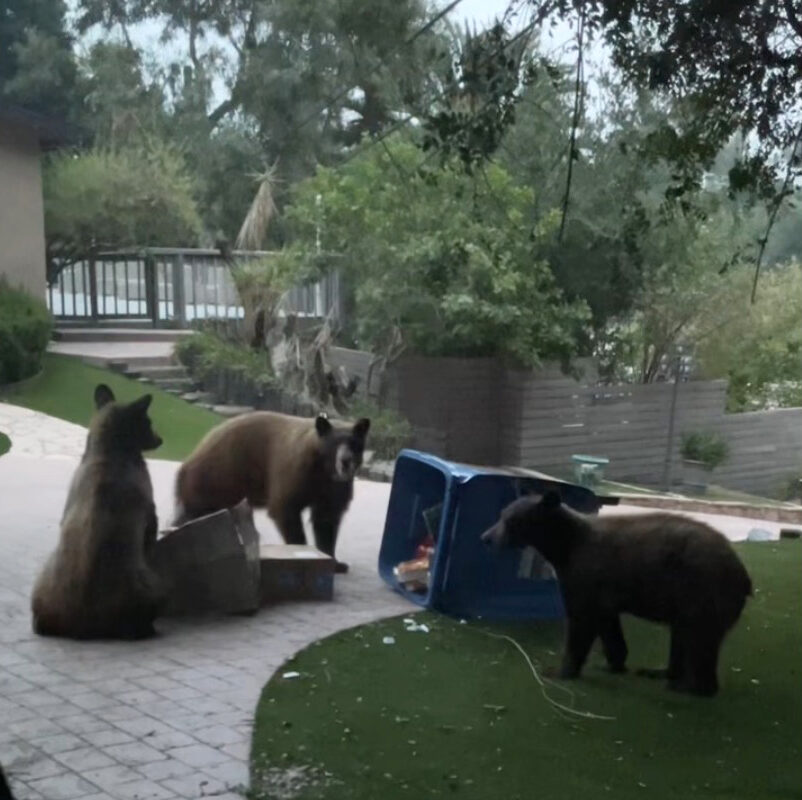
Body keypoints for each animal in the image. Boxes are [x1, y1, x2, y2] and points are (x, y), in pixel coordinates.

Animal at [31, 384, 165, 640]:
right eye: (149, 422)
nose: (161, 439)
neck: (107, 451)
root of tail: (82, 627)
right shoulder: (151, 514)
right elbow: (151, 540)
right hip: (152, 586)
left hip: (41, 578)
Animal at [173, 411, 370, 574]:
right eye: (334, 443)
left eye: (354, 443)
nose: (346, 461)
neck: (323, 471)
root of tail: (188, 461)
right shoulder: (295, 472)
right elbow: (286, 508)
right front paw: (300, 550)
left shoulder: (334, 487)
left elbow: (327, 519)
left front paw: (337, 562)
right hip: (217, 479)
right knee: (197, 512)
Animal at [481, 490, 753, 697]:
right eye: (501, 515)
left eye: (510, 519)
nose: (485, 538)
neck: (565, 545)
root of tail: (744, 576)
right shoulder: (603, 590)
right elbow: (608, 625)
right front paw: (613, 663)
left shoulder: (585, 574)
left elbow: (580, 622)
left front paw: (560, 670)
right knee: (681, 637)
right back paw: (660, 672)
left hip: (701, 591)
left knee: (699, 640)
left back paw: (689, 686)